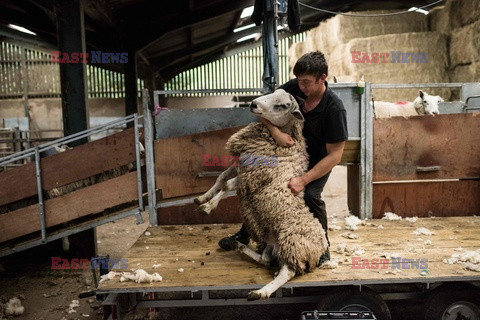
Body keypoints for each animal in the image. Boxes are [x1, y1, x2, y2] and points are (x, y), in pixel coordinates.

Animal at [193, 89, 328, 300]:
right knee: (266, 260)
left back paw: (261, 292)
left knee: (287, 271)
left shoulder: (254, 176)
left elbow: (227, 185)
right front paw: (203, 198)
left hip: (292, 243)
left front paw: (207, 207)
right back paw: (238, 246)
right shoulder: (243, 166)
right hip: (274, 245)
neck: (284, 141)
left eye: (282, 106)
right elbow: (221, 179)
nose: (253, 104)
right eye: (274, 91)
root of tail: (321, 245)